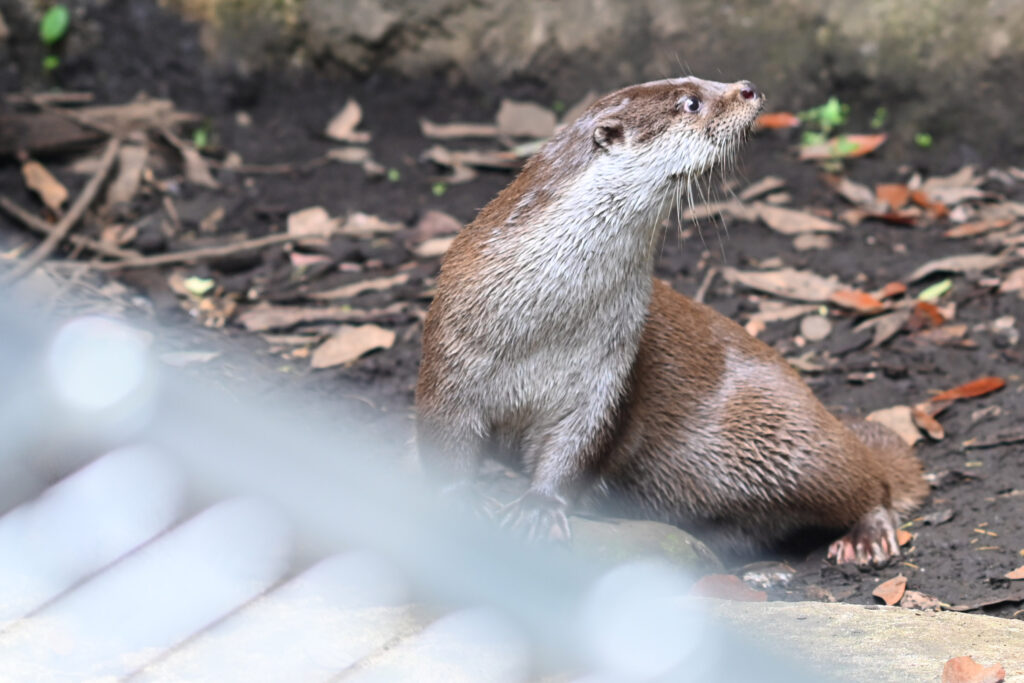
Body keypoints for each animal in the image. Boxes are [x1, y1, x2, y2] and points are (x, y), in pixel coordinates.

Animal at [415, 77, 928, 567]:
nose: (746, 88)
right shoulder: (450, 358)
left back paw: (866, 537)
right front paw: (460, 501)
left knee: (868, 480)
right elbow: (444, 443)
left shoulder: (606, 376)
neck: (543, 327)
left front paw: (540, 507)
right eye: (690, 103)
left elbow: (576, 447)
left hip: (786, 440)